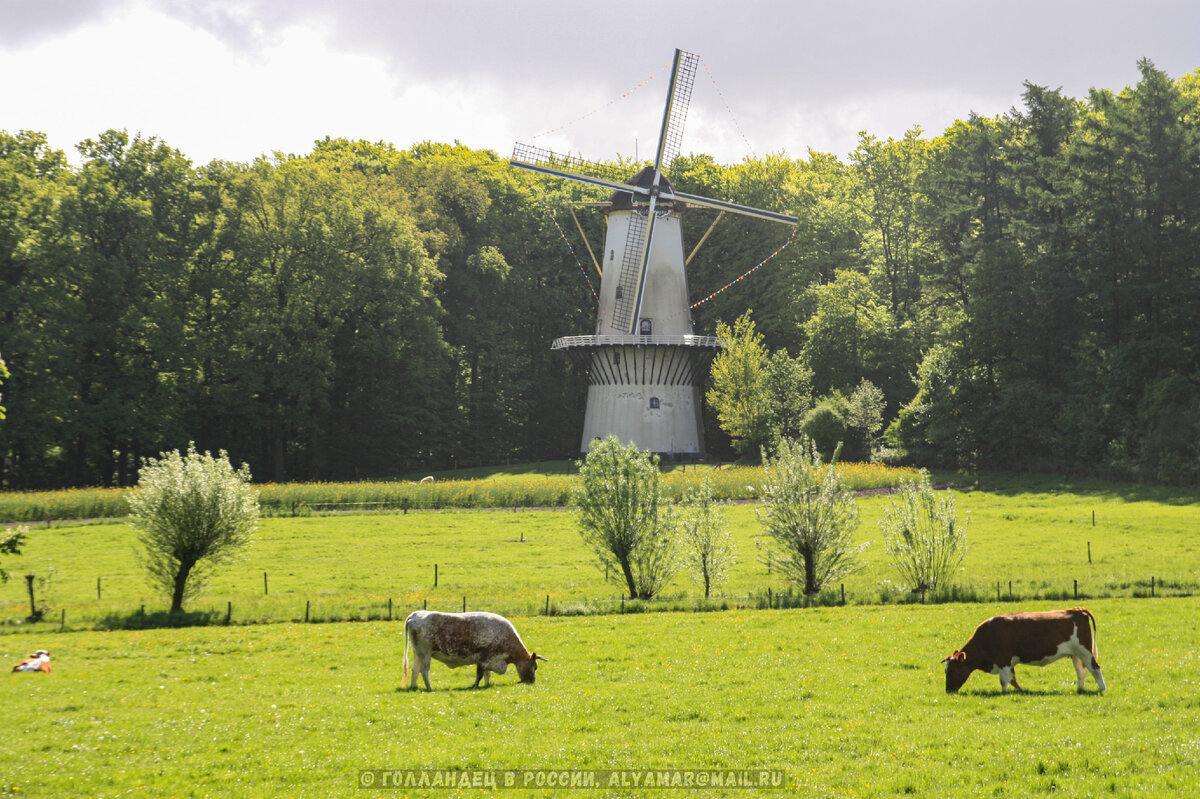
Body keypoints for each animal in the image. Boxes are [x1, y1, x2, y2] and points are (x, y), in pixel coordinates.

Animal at [405, 609, 549, 691]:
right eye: (535, 667)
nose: (532, 681)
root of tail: (415, 614)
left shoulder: (492, 659)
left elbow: (487, 674)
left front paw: (487, 685)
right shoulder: (484, 657)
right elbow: (479, 674)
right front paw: (474, 686)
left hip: (418, 654)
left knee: (414, 670)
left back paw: (413, 687)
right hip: (425, 653)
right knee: (424, 671)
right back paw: (429, 688)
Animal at [945, 604, 1104, 691]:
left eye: (952, 671)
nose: (948, 691)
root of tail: (1077, 610)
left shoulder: (1003, 661)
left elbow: (1004, 681)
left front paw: (1004, 693)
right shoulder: (1008, 663)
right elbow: (1013, 680)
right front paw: (1021, 691)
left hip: (1085, 652)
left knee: (1095, 668)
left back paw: (1102, 688)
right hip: (1076, 655)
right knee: (1081, 672)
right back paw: (1080, 690)